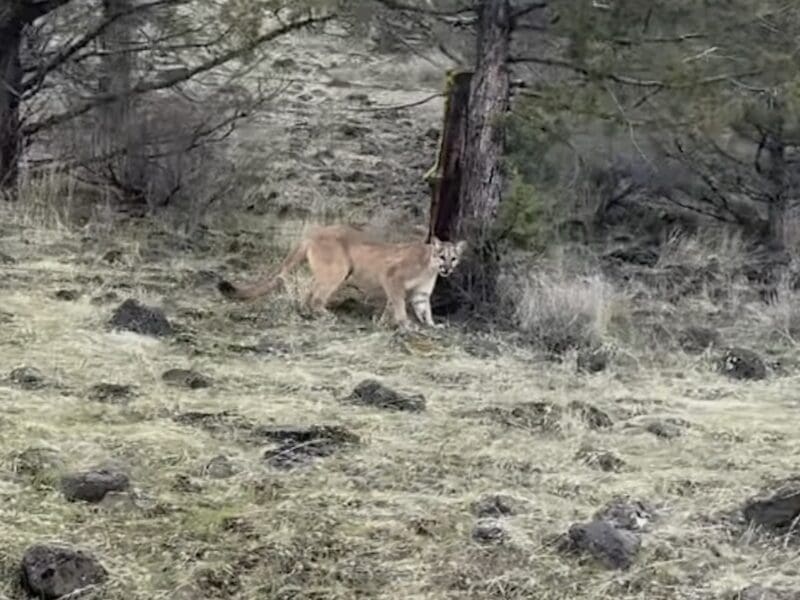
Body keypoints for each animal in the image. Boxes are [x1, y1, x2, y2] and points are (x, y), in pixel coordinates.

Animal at [217, 224, 467, 329]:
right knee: (318, 296)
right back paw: (325, 315)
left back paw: (305, 312)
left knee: (309, 291)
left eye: (454, 258)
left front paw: (432, 325)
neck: (429, 267)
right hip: (338, 270)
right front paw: (404, 323)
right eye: (441, 256)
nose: (447, 269)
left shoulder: (421, 293)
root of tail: (314, 231)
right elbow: (397, 303)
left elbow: (424, 309)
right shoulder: (392, 277)